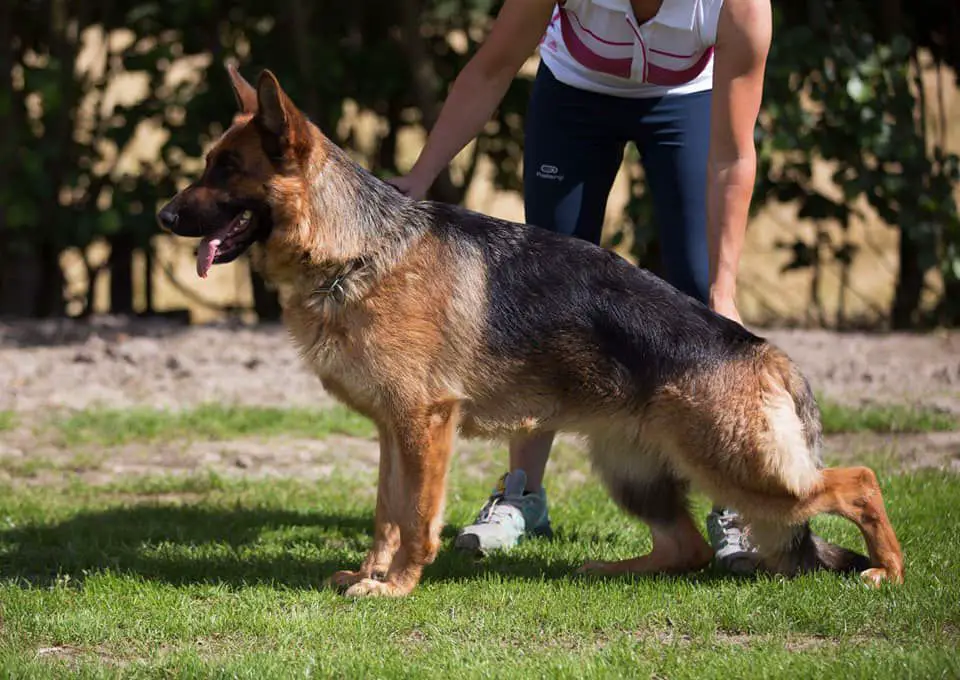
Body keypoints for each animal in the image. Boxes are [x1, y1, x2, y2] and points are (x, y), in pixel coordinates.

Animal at [154, 66, 904, 596]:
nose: (162, 217)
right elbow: (385, 511)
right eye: (207, 165)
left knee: (858, 480)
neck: (356, 249)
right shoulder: (394, 431)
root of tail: (765, 353)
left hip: (742, 470)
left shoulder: (425, 424)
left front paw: (395, 586)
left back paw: (887, 570)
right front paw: (369, 573)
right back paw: (612, 571)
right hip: (633, 471)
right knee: (684, 550)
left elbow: (415, 517)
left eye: (227, 170)